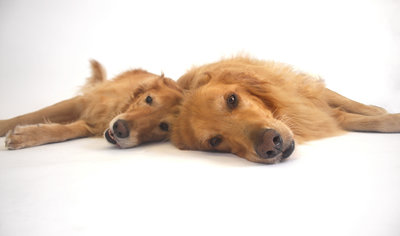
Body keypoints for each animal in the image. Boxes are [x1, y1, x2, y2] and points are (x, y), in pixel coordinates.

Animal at [0, 60, 183, 149]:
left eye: (164, 126)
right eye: (149, 99)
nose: (120, 129)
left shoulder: (90, 125)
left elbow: (64, 131)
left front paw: (26, 135)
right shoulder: (82, 102)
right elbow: (27, 116)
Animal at [172, 56, 400, 164]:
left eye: (232, 99)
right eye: (215, 141)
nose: (270, 145)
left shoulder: (301, 92)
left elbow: (352, 104)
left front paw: (377, 110)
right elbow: (355, 118)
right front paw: (391, 119)